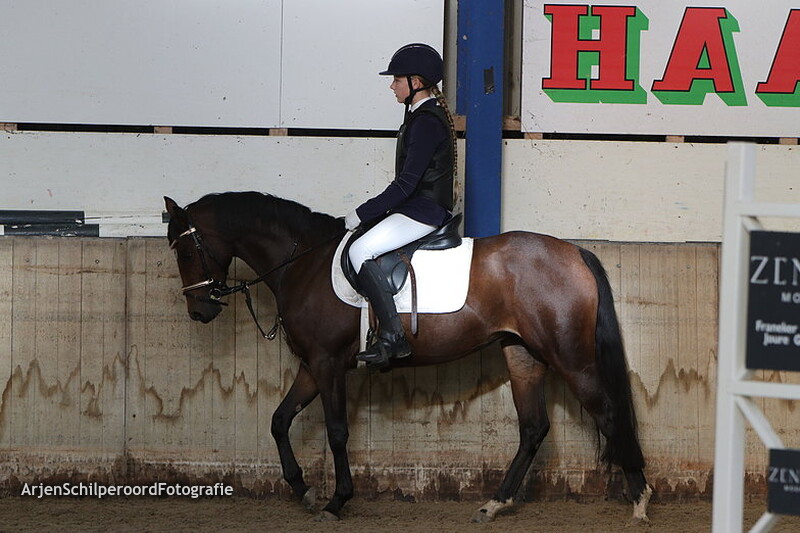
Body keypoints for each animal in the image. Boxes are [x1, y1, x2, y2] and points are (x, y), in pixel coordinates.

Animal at [163, 192, 652, 523]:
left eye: (186, 250)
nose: (199, 311)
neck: (303, 262)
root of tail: (574, 251)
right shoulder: (311, 366)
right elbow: (279, 420)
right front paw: (302, 489)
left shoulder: (326, 364)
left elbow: (337, 432)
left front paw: (336, 501)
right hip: (523, 355)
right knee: (534, 428)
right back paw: (494, 504)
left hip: (570, 357)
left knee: (608, 415)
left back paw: (640, 501)